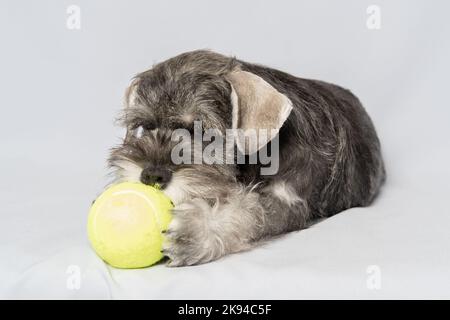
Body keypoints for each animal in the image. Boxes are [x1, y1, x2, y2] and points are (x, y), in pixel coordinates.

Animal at [107, 49, 384, 264]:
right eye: (146, 126)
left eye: (203, 131)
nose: (151, 175)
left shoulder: (289, 202)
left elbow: (251, 211)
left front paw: (198, 230)